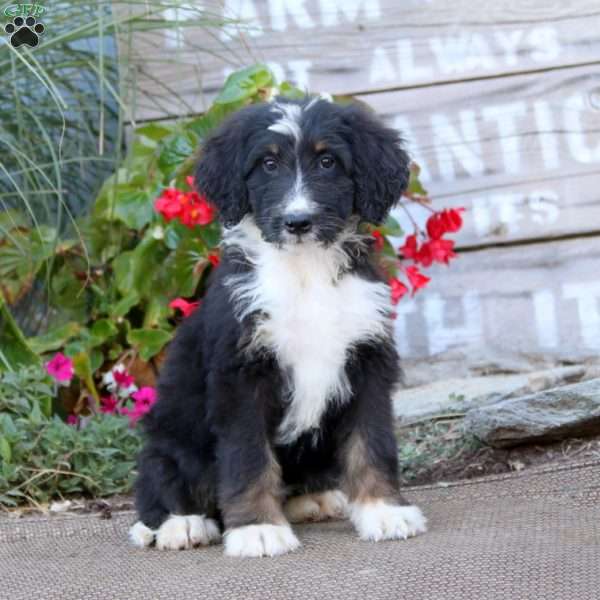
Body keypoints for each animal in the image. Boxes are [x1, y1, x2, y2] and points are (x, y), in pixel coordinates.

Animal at [128, 95, 426, 556]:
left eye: (327, 161)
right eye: (268, 164)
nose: (297, 222)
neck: (305, 272)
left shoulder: (367, 360)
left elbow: (371, 443)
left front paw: (383, 511)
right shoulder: (241, 374)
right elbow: (249, 457)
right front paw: (258, 529)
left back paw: (313, 498)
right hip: (170, 437)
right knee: (160, 481)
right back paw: (178, 525)